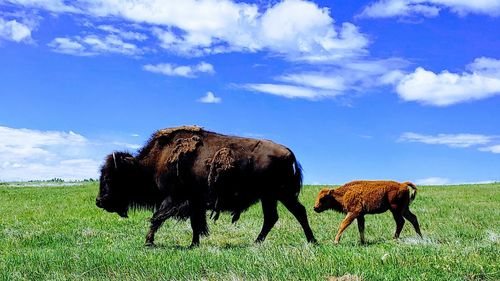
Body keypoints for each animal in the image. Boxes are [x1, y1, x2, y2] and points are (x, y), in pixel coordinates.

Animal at [96, 126, 316, 246]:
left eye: (109, 178)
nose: (99, 201)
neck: (156, 160)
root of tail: (289, 152)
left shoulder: (174, 198)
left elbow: (157, 218)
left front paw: (148, 241)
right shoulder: (195, 203)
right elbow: (195, 223)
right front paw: (194, 244)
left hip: (281, 194)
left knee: (298, 212)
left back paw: (311, 241)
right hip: (269, 197)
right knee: (272, 218)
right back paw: (257, 242)